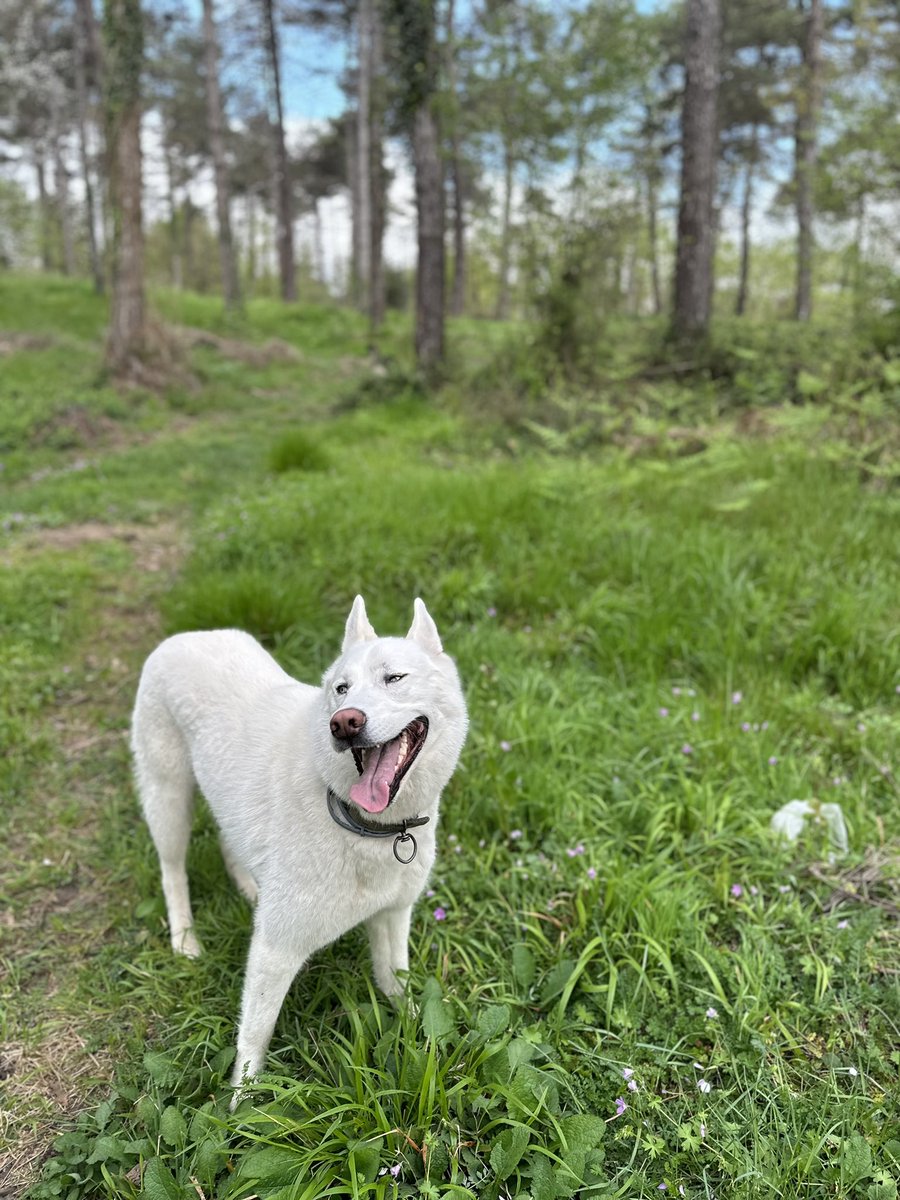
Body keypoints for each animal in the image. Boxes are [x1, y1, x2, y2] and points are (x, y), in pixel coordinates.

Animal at [133, 595, 472, 1094]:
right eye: (341, 689)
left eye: (395, 678)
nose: (344, 723)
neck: (362, 824)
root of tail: (185, 637)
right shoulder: (276, 949)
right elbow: (254, 1037)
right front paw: (241, 1105)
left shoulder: (393, 914)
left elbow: (395, 982)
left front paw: (420, 1030)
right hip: (169, 799)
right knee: (171, 869)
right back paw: (185, 938)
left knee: (228, 840)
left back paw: (249, 888)